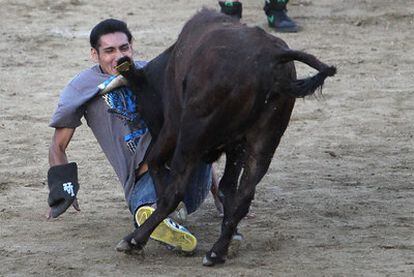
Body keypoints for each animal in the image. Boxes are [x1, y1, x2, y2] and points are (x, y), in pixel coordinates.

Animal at [115, 8, 334, 264]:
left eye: (139, 105)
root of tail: (272, 56)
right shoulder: (236, 146)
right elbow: (227, 189)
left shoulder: (172, 126)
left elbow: (155, 162)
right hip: (265, 140)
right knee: (244, 194)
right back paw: (217, 250)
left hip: (191, 133)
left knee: (176, 189)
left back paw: (135, 240)